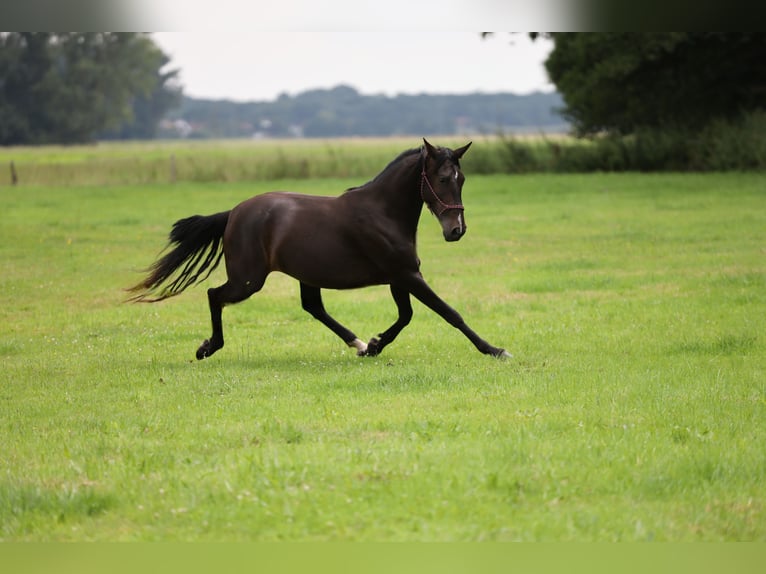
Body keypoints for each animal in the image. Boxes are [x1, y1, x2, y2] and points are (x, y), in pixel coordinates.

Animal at [128, 139, 510, 360]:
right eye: (443, 179)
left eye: (462, 180)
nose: (456, 230)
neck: (383, 212)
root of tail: (234, 212)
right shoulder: (407, 274)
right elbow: (449, 313)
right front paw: (494, 349)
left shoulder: (399, 277)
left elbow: (406, 316)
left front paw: (374, 345)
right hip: (248, 279)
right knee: (214, 295)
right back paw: (208, 347)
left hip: (303, 274)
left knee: (313, 307)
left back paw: (358, 344)